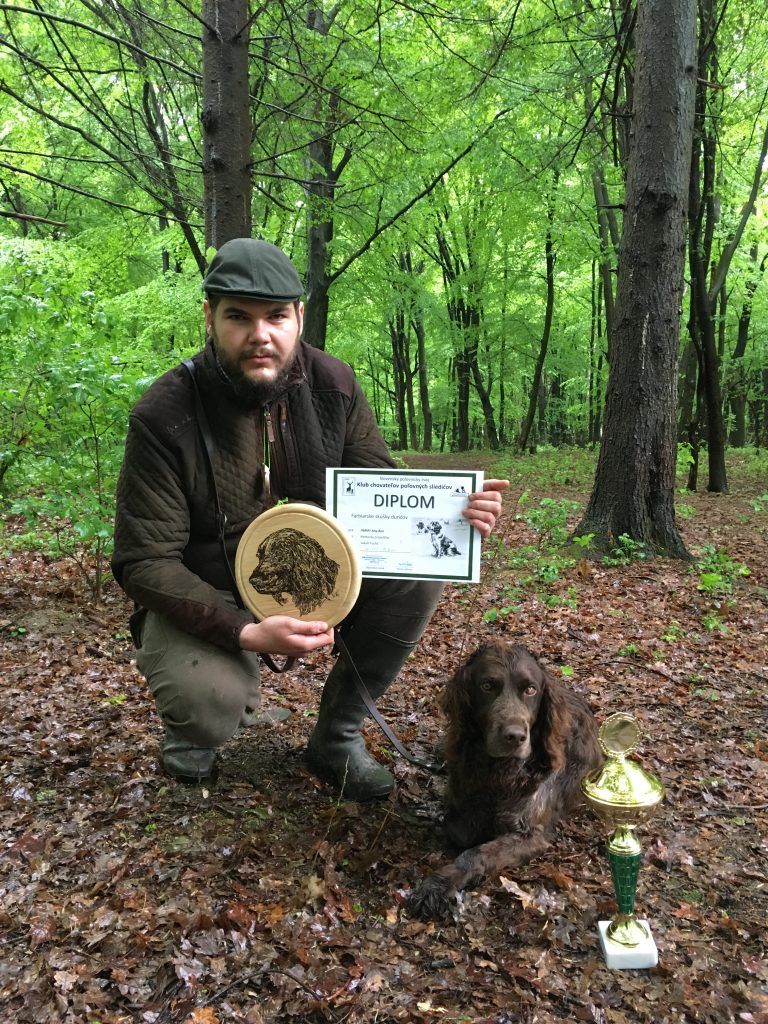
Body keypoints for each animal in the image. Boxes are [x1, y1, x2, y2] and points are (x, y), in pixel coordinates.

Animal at [405, 638, 606, 921]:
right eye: (487, 686)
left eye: (531, 690)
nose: (515, 736)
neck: (498, 772)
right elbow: (460, 831)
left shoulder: (532, 835)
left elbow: (476, 852)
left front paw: (437, 886)